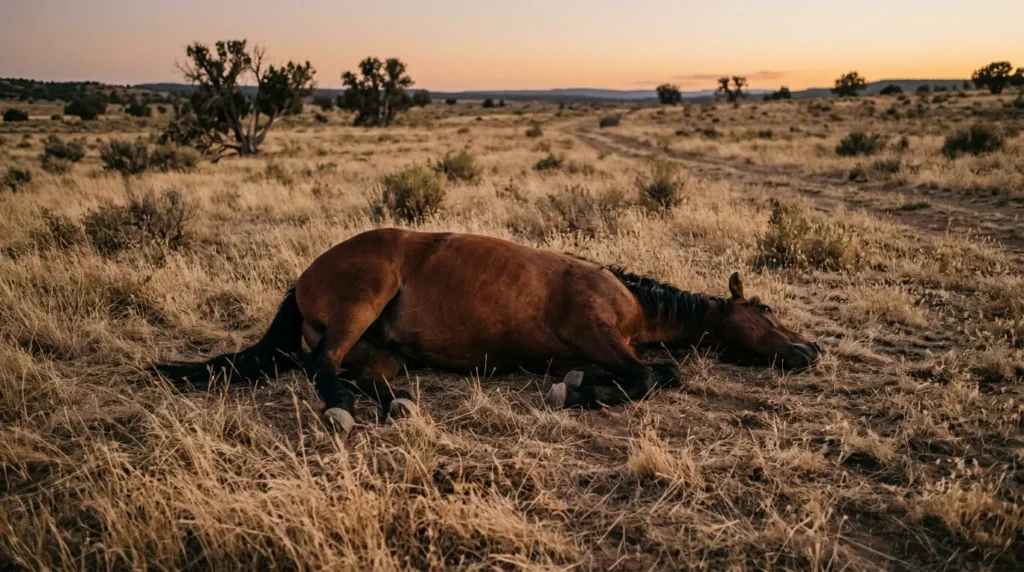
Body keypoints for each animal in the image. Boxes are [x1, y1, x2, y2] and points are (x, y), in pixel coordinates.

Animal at [156, 228, 821, 432]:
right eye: (765, 310)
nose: (810, 350)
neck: (634, 299)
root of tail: (303, 276)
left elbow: (642, 374)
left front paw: (581, 387)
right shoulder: (597, 334)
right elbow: (659, 375)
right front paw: (576, 393)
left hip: (385, 352)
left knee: (362, 373)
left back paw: (396, 408)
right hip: (361, 301)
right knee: (321, 366)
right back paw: (342, 410)